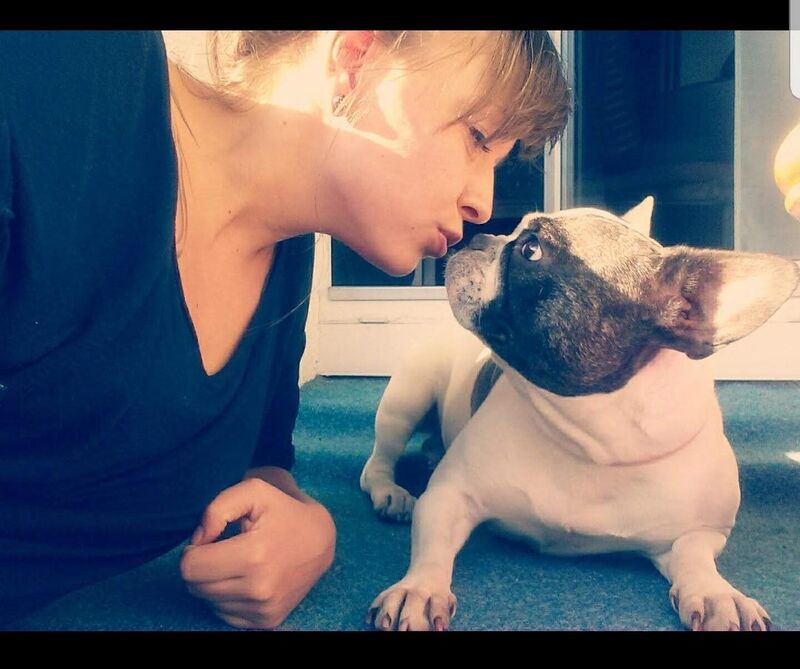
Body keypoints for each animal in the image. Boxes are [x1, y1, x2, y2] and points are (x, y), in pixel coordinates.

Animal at [360, 197, 799, 631]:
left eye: (531, 250)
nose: (481, 237)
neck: (591, 442)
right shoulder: (448, 495)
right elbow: (432, 545)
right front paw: (420, 589)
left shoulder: (699, 532)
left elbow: (697, 559)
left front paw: (717, 594)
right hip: (407, 396)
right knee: (379, 460)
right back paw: (391, 493)